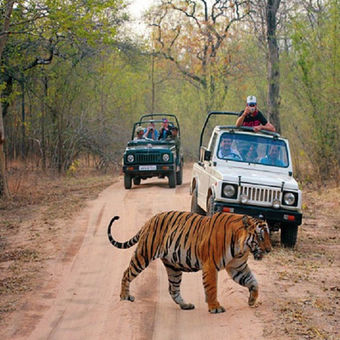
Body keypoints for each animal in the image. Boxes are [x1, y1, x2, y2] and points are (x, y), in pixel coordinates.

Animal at [107, 212, 272, 314]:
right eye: (260, 237)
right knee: (127, 273)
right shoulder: (210, 265)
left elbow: (253, 282)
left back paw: (185, 305)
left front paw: (252, 300)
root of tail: (150, 220)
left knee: (173, 289)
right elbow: (212, 288)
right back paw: (125, 296)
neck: (241, 247)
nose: (269, 250)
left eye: (268, 235)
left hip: (173, 267)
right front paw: (215, 307)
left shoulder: (238, 267)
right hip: (143, 255)